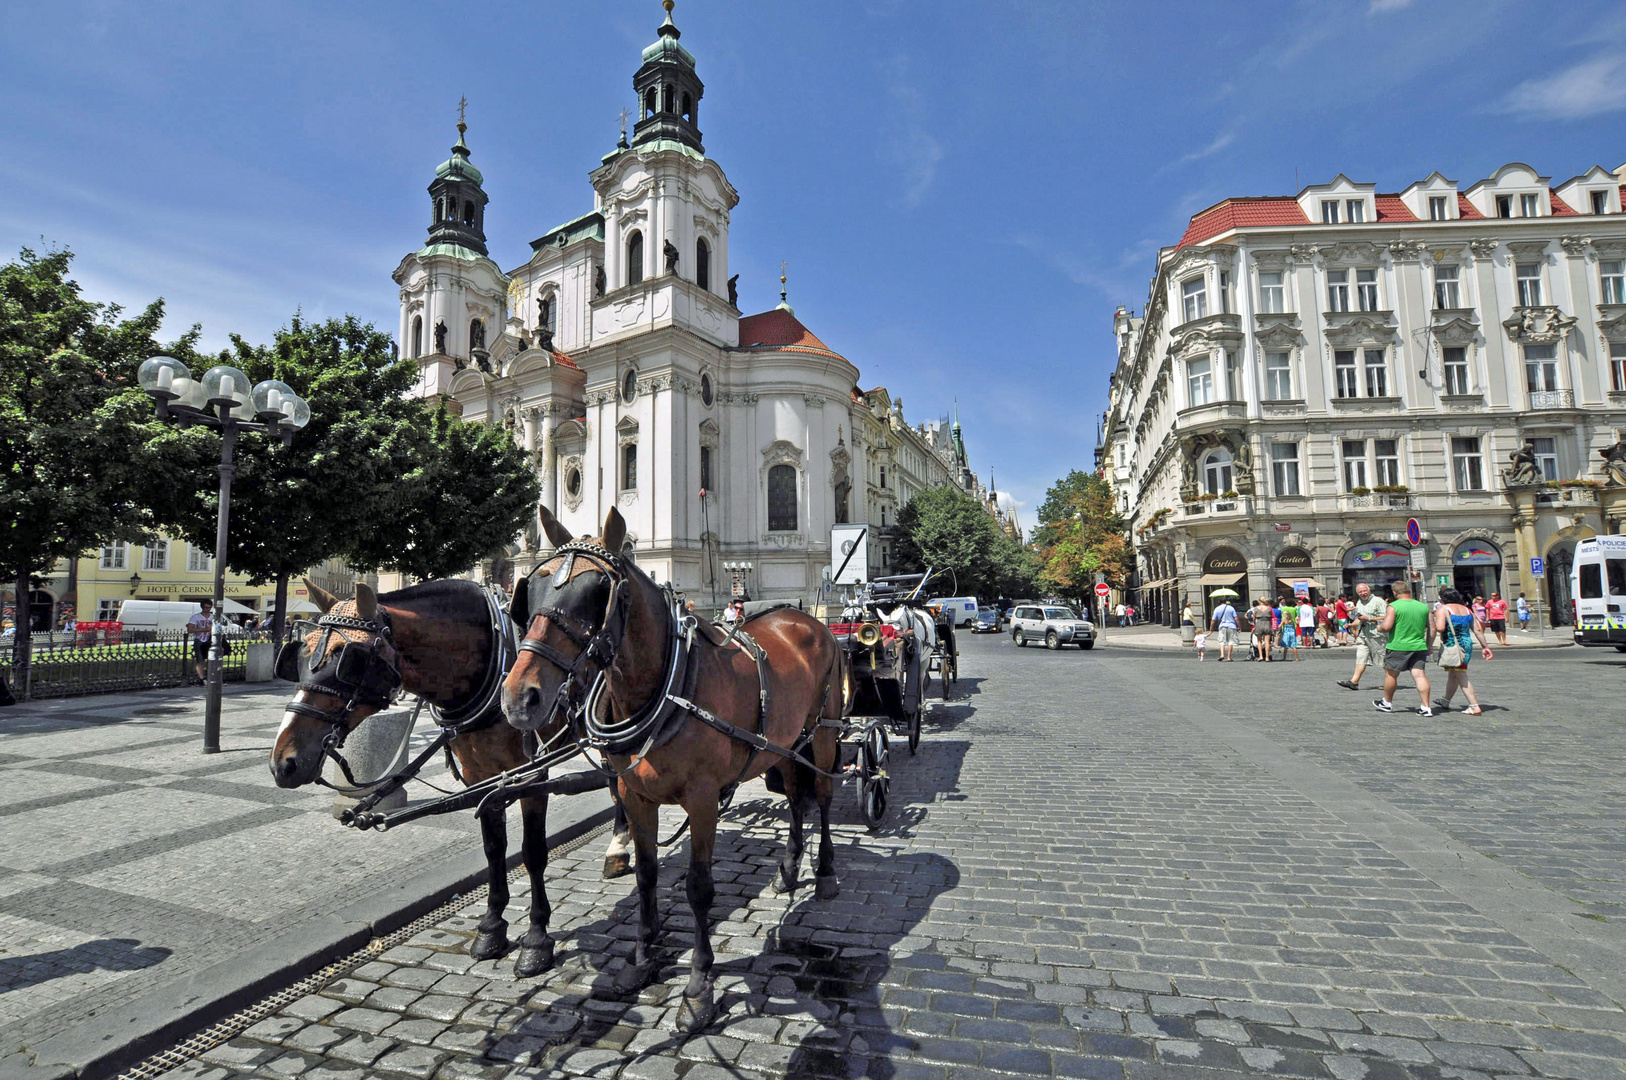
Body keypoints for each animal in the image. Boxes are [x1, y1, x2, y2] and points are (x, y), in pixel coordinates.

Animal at [266, 582, 627, 975]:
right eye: (300, 655)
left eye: (348, 659)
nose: (283, 762)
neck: (495, 665)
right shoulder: (482, 778)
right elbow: (493, 848)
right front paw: (492, 927)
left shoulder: (532, 777)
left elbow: (533, 853)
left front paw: (536, 938)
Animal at [500, 507, 845, 1027]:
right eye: (532, 590)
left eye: (597, 593)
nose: (520, 699)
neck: (667, 682)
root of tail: (804, 616)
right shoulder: (635, 795)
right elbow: (646, 874)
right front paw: (643, 958)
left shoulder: (702, 800)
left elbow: (699, 888)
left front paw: (699, 986)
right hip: (783, 744)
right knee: (794, 798)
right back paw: (789, 865)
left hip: (822, 731)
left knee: (822, 798)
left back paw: (823, 872)